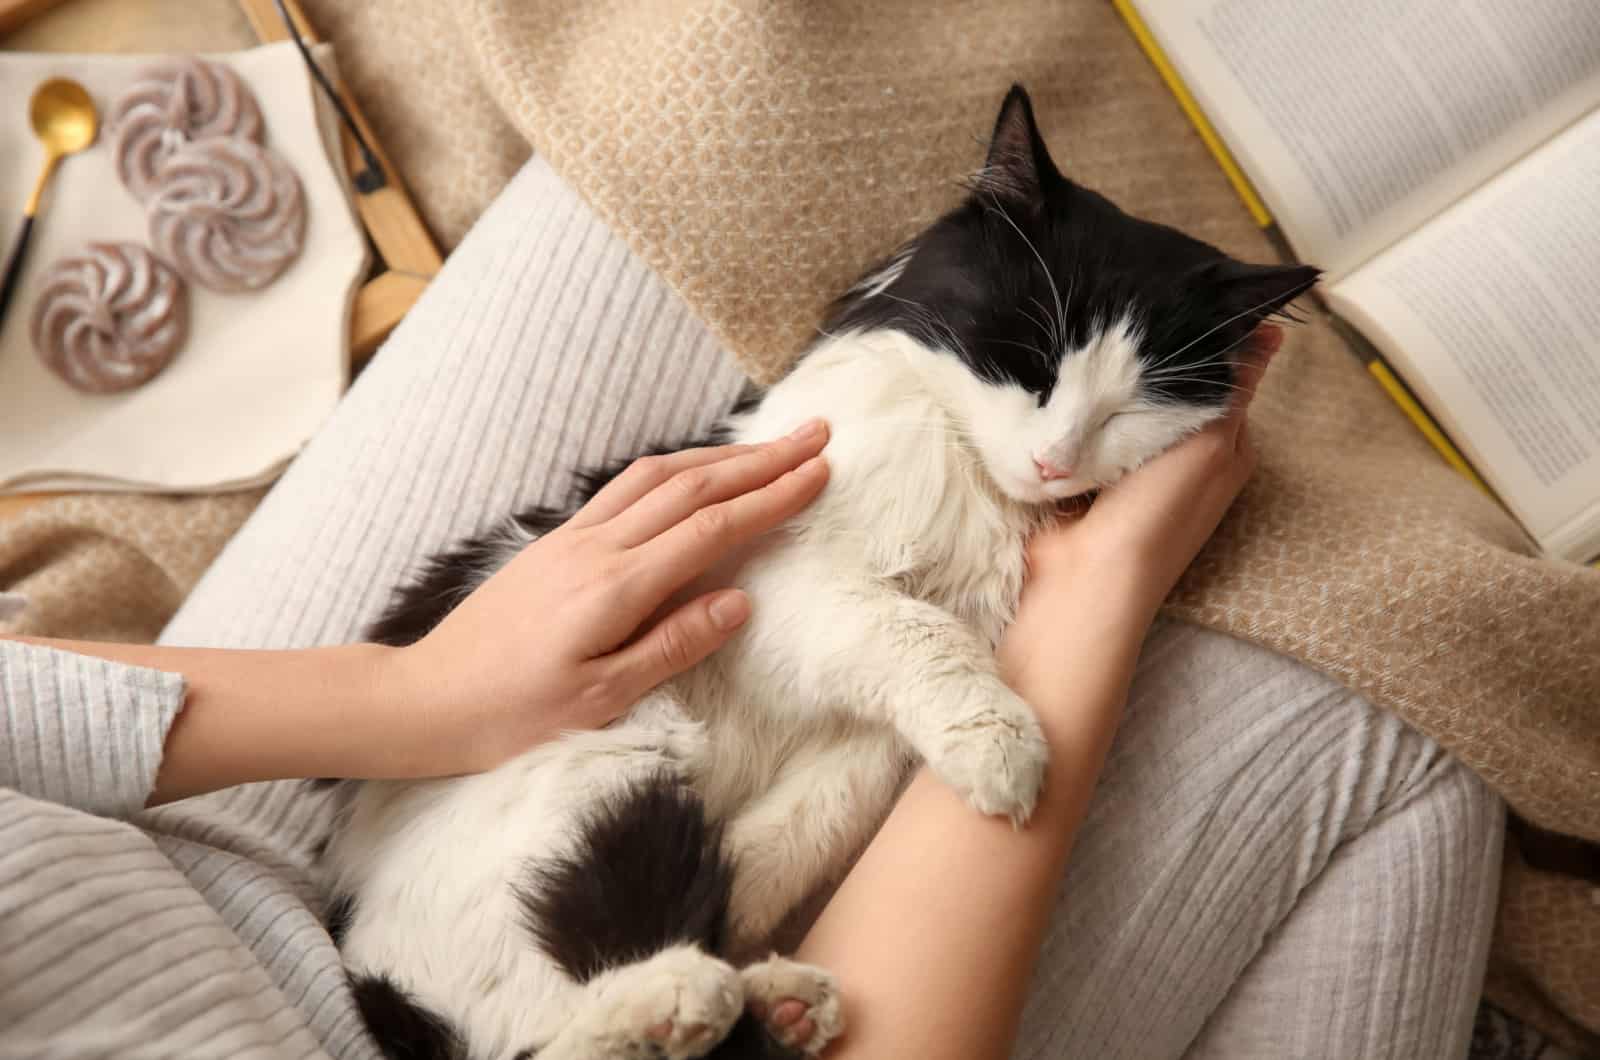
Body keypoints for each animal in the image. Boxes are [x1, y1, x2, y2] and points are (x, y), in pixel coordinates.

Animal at [318, 85, 1318, 1060]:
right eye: (1029, 362)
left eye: (1129, 412)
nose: (1055, 462)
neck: (970, 480)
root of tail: (367, 960)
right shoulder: (774, 583)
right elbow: (915, 636)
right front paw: (1005, 752)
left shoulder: (870, 732)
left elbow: (809, 823)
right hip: (610, 759)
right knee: (543, 1040)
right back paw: (677, 1000)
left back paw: (770, 1002)